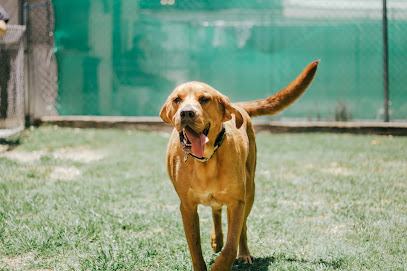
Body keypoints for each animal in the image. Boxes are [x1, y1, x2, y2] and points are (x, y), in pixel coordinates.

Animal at [159, 60, 318, 270]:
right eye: (177, 99)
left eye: (204, 99)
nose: (186, 112)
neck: (205, 160)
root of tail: (236, 104)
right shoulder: (187, 207)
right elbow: (195, 248)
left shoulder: (237, 202)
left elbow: (231, 245)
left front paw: (220, 265)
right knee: (216, 210)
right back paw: (217, 239)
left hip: (250, 191)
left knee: (242, 228)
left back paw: (243, 253)